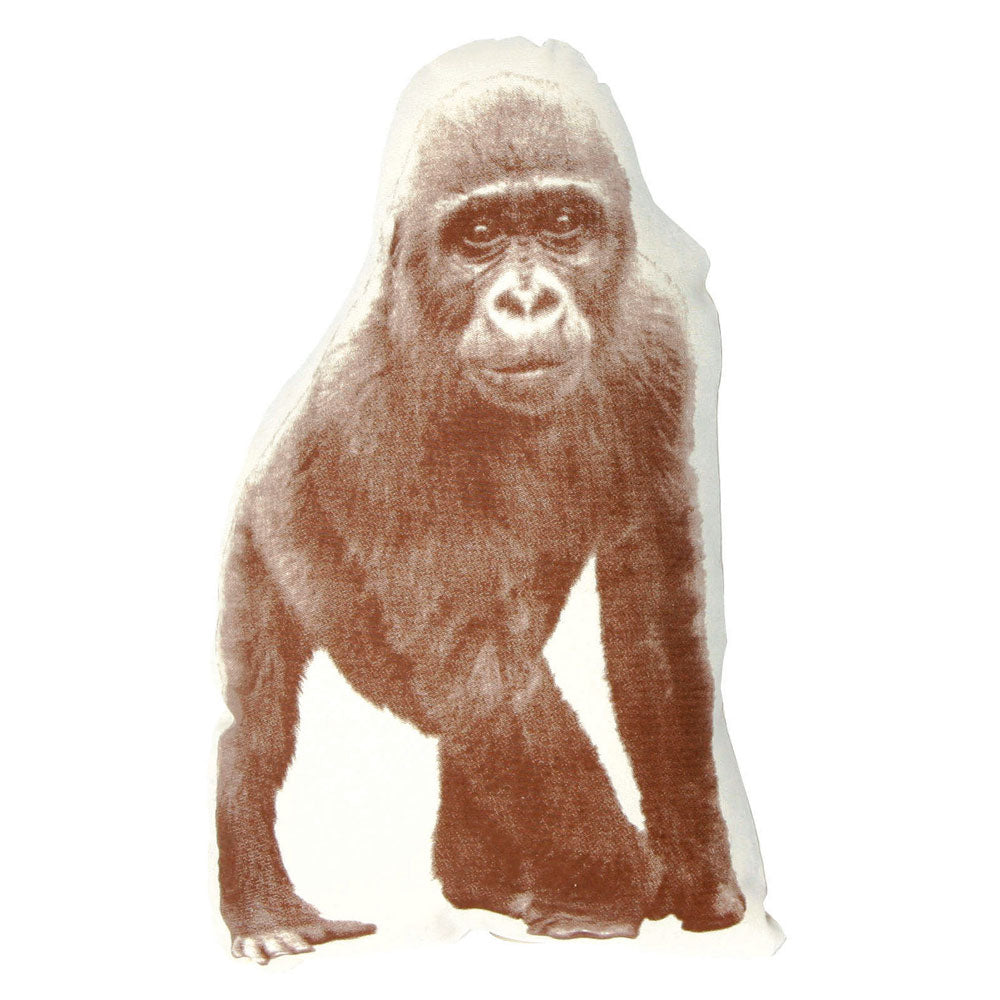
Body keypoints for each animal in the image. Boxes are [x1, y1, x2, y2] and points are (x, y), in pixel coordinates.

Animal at [216, 76, 746, 964]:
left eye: (563, 223)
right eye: (480, 235)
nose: (526, 299)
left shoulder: (656, 336)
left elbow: (650, 620)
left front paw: (700, 880)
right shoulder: (367, 412)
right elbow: (474, 659)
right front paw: (617, 886)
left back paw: (484, 879)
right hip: (257, 531)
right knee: (257, 724)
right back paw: (263, 903)